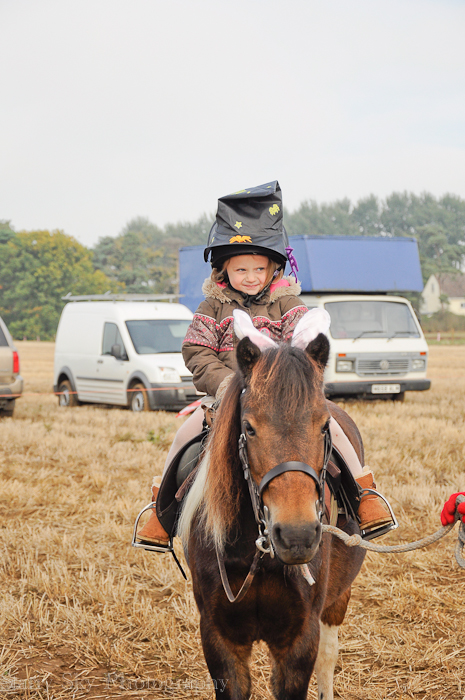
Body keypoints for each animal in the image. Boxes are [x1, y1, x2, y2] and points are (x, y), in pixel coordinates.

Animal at [177, 326, 366, 700]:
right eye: (249, 428)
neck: (258, 554)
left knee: (329, 656)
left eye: (324, 426)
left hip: (338, 599)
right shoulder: (220, 638)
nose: (297, 535)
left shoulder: (299, 640)